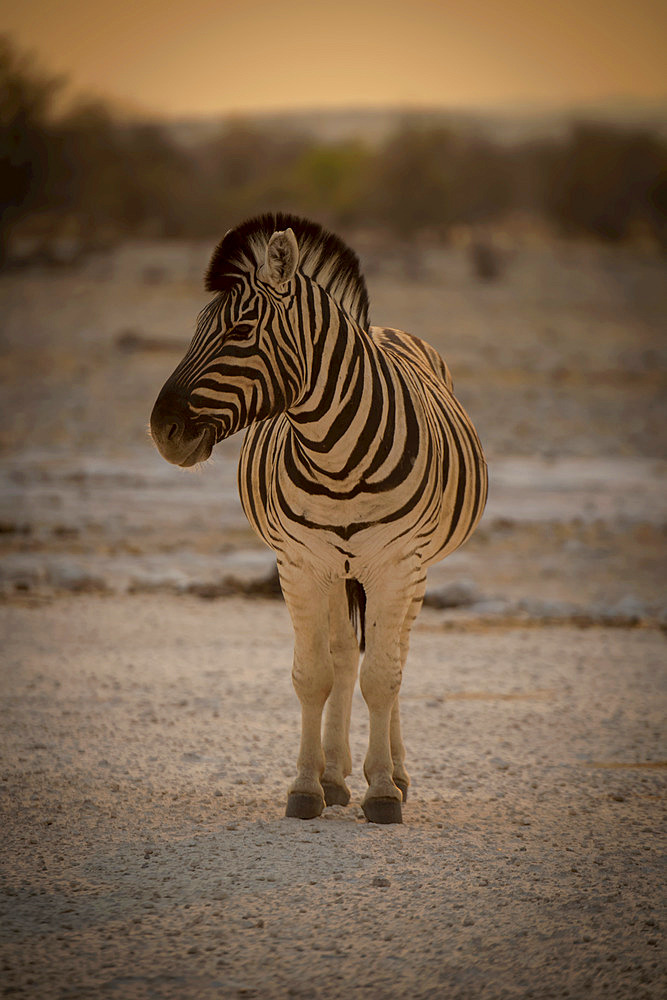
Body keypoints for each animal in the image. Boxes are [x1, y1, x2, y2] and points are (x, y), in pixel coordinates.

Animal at [150, 209, 486, 820]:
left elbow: (383, 678)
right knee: (343, 657)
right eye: (196, 327)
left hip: (411, 571)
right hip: (336, 570)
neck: (337, 456)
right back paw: (335, 776)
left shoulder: (397, 566)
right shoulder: (301, 565)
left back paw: (395, 772)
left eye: (241, 331)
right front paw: (307, 785)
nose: (161, 431)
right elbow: (315, 675)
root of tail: (386, 327)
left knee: (395, 658)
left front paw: (384, 792)